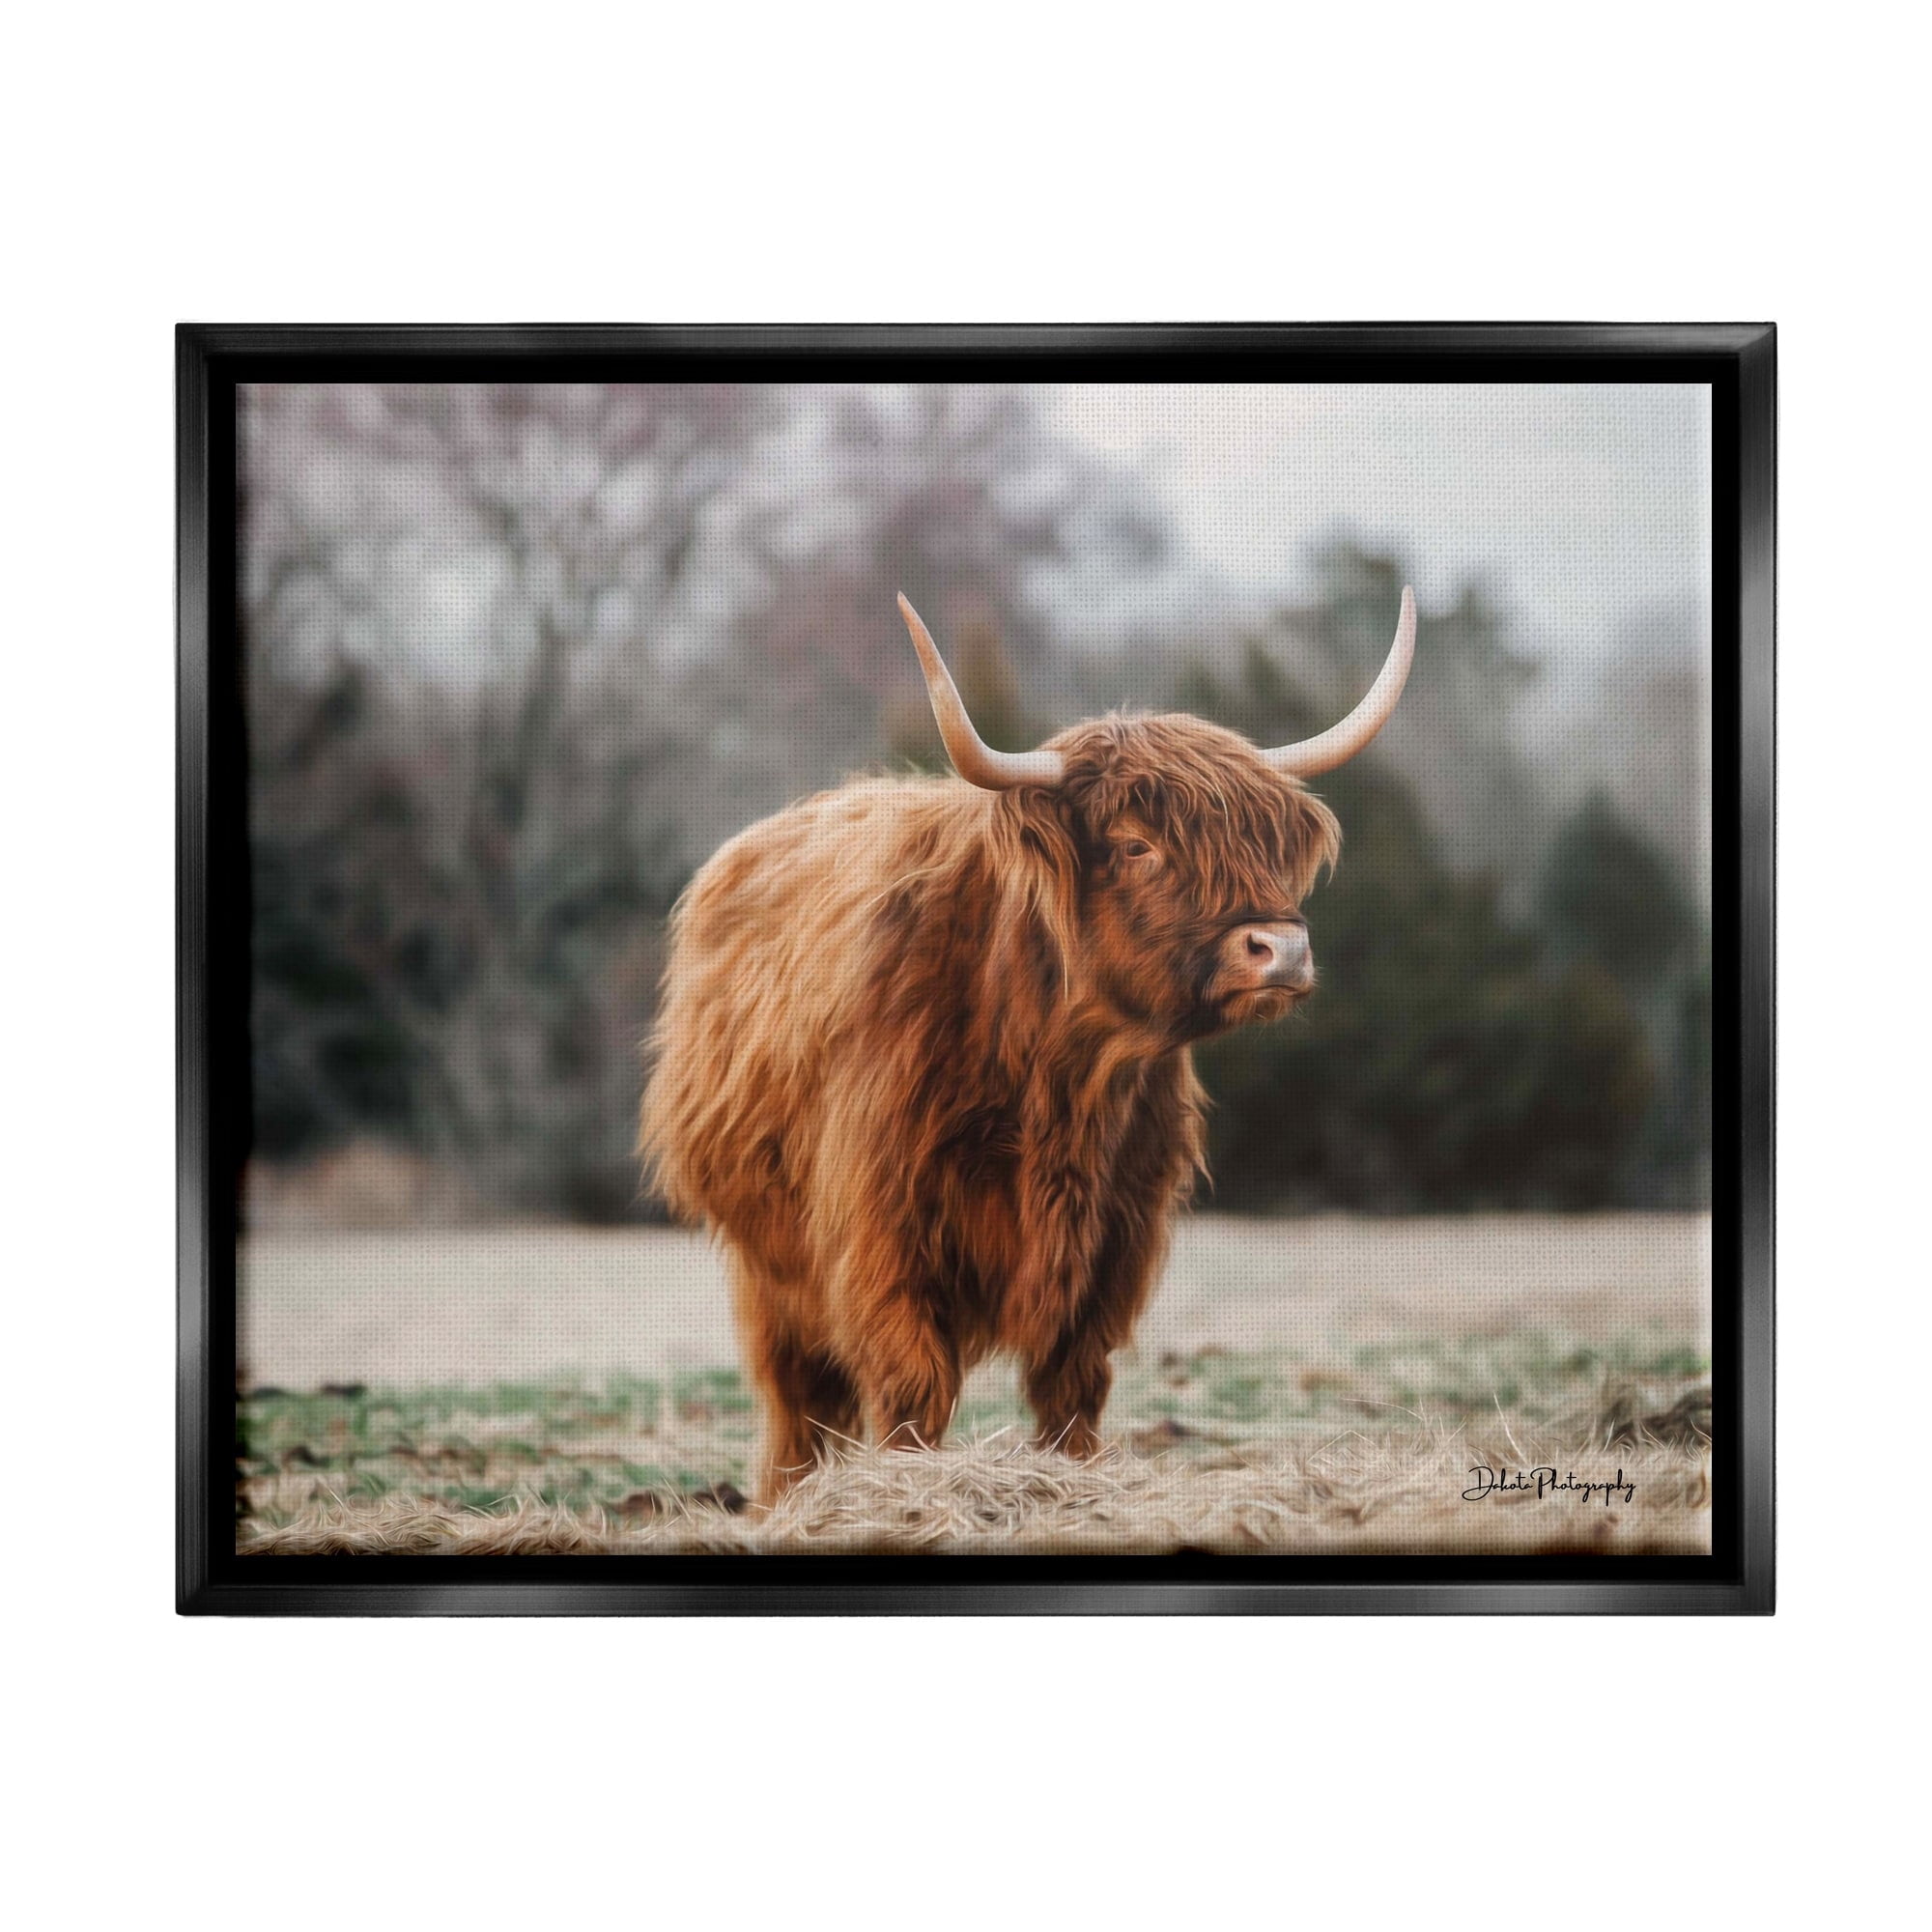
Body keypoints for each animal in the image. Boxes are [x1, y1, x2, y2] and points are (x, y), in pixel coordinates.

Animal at [639, 588, 1416, 1501]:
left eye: (1263, 845)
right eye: (1135, 844)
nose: (1282, 950)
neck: (1060, 1075)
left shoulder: (1119, 1234)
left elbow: (1073, 1381)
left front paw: (1072, 1480)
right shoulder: (880, 1228)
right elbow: (911, 1384)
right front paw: (910, 1495)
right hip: (766, 1259)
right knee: (797, 1398)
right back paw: (786, 1502)